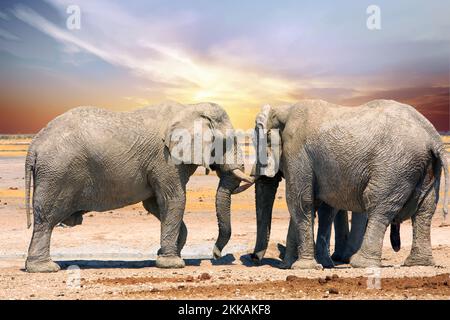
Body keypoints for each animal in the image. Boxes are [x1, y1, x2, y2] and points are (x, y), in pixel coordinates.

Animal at [23, 101, 253, 272]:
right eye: (228, 141)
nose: (215, 255)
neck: (190, 108)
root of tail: (34, 145)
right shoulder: (165, 159)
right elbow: (174, 200)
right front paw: (173, 263)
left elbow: (155, 204)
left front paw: (165, 254)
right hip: (56, 172)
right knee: (47, 219)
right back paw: (45, 268)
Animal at [253, 99, 446, 268]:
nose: (254, 259)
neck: (283, 109)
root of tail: (432, 136)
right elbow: (312, 204)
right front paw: (293, 265)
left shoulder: (297, 149)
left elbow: (300, 201)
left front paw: (303, 267)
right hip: (425, 166)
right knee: (425, 209)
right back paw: (418, 263)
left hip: (395, 166)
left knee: (378, 205)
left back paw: (360, 263)